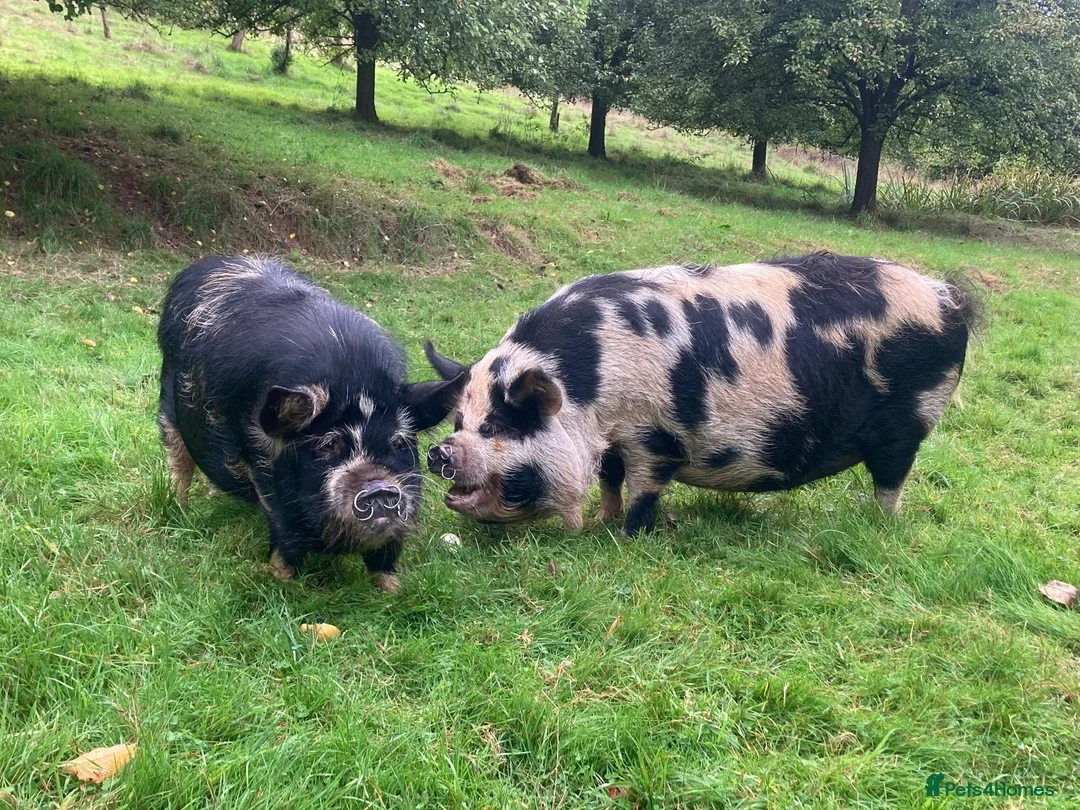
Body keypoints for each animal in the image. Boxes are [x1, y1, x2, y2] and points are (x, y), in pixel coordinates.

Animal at [157, 255, 460, 589]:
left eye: (399, 442)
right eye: (328, 445)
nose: (378, 489)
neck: (353, 379)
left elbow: (386, 559)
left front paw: (392, 591)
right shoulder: (263, 463)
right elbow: (284, 530)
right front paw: (281, 579)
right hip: (167, 408)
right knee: (179, 461)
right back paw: (180, 508)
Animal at [424, 253, 979, 536]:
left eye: (497, 426)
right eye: (459, 423)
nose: (438, 452)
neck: (591, 392)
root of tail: (950, 298)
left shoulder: (651, 434)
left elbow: (644, 488)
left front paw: (627, 536)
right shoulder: (614, 437)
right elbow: (608, 477)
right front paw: (602, 520)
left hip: (908, 424)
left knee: (893, 479)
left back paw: (880, 524)